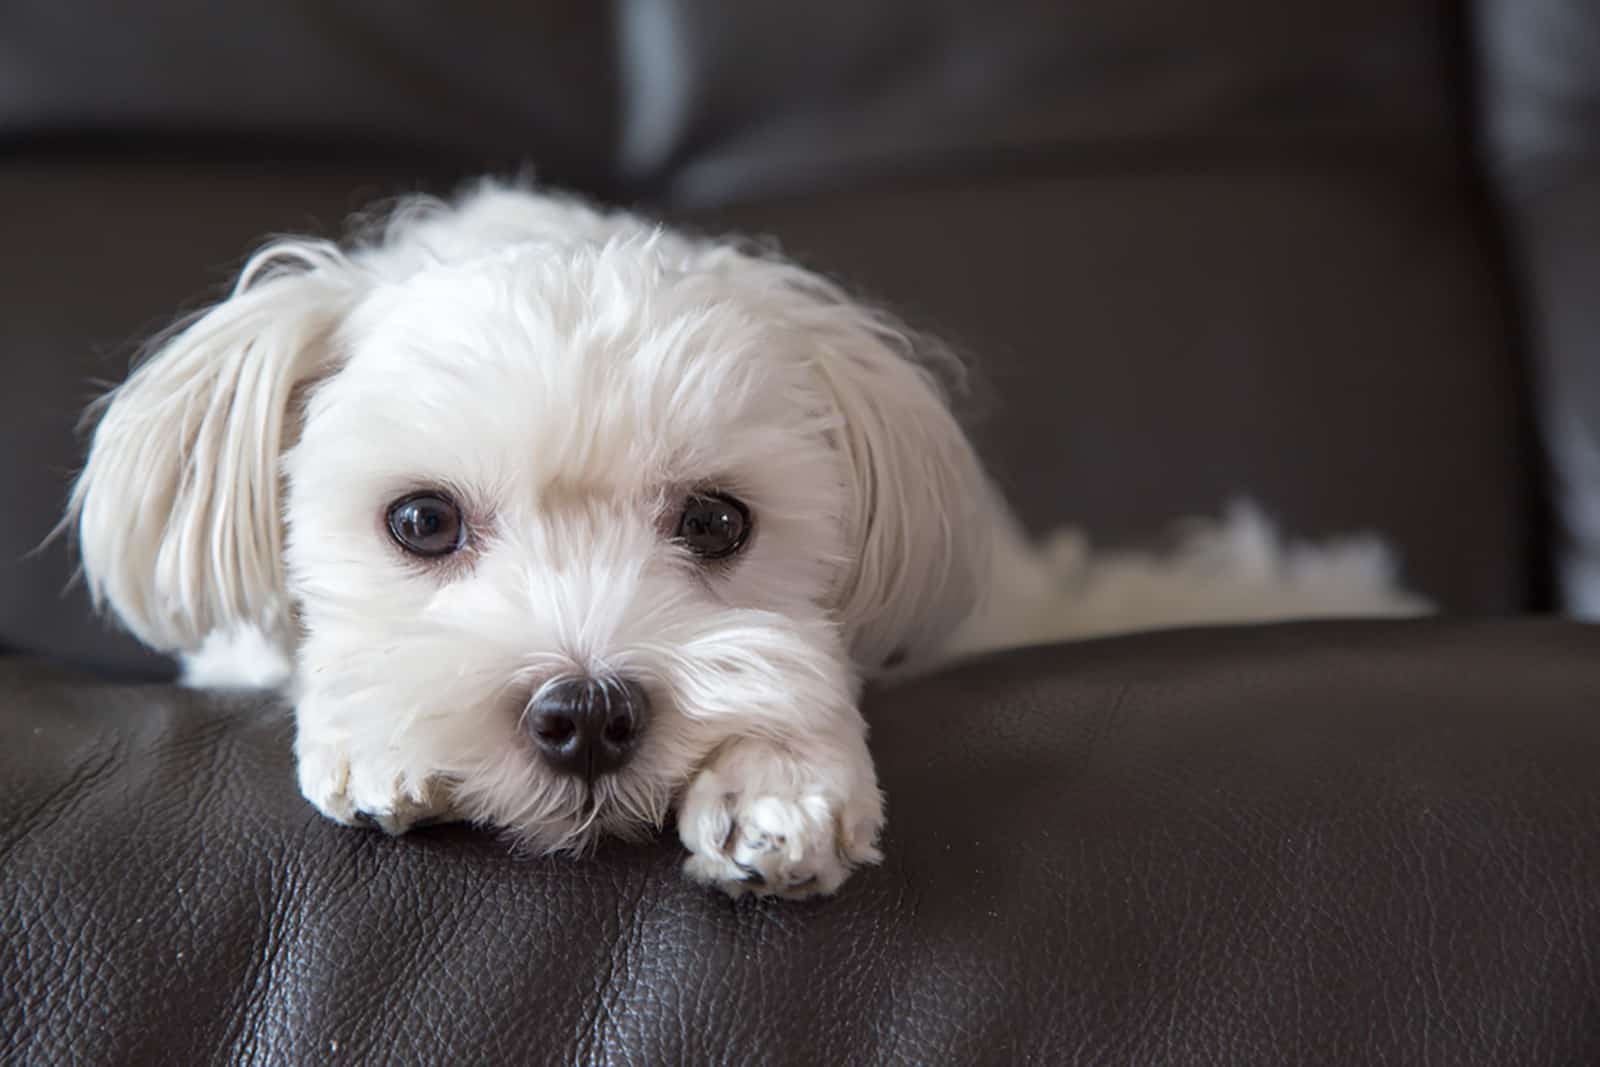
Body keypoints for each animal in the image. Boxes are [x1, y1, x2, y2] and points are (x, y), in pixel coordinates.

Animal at [72, 179, 1427, 895]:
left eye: (718, 521)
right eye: (421, 521)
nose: (586, 715)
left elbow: (788, 673)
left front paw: (775, 779)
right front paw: (377, 741)